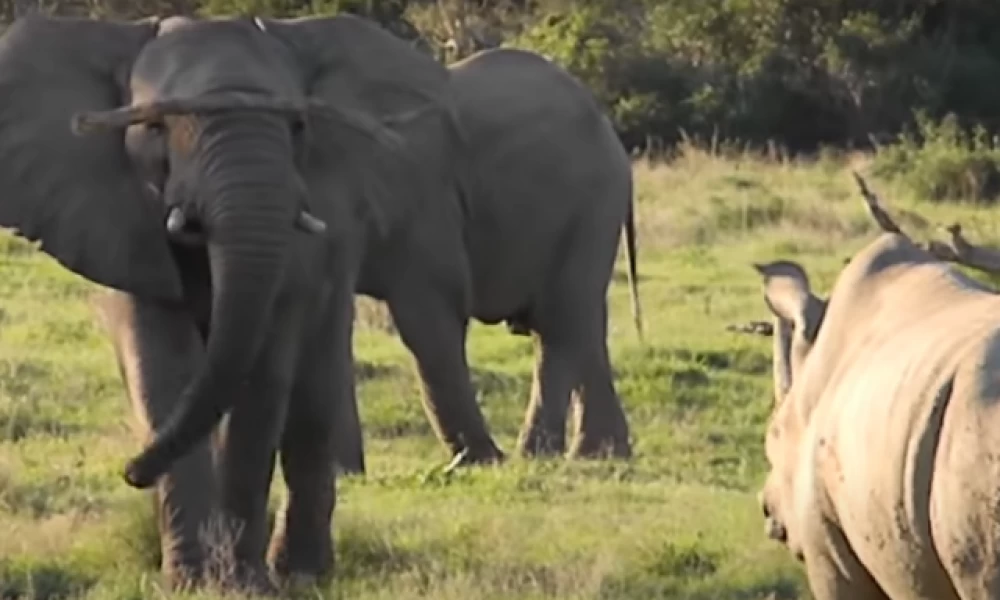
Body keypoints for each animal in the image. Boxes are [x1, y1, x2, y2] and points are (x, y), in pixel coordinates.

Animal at [0, 12, 462, 592]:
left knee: (313, 397)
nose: (130, 472)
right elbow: (162, 368)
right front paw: (192, 582)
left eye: (298, 127)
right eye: (155, 128)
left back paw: (303, 576)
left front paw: (243, 584)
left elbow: (261, 381)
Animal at [336, 47, 644, 474]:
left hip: (593, 203)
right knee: (580, 320)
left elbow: (429, 311)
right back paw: (597, 454)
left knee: (560, 318)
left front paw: (476, 464)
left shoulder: (421, 192)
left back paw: (539, 456)